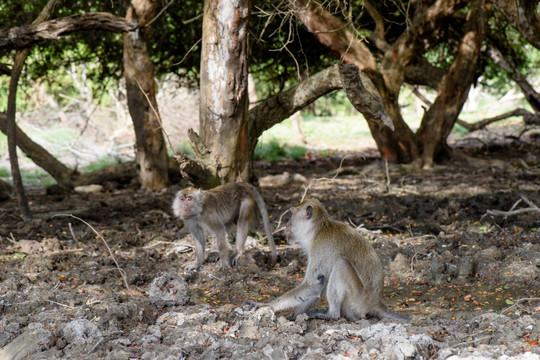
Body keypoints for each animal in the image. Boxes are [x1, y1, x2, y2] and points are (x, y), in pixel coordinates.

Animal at [253, 198, 410, 322]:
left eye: (292, 213)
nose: (286, 224)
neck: (317, 231)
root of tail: (375, 302)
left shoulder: (321, 248)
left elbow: (313, 284)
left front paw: (268, 306)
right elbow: (318, 286)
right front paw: (294, 315)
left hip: (356, 302)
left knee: (341, 264)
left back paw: (332, 315)